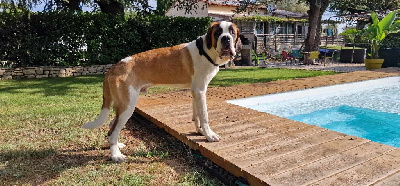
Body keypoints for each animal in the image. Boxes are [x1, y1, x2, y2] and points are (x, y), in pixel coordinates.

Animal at [82, 21, 241, 162]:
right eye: (218, 32)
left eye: (232, 32)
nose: (226, 38)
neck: (205, 51)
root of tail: (113, 68)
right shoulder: (200, 91)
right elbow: (204, 116)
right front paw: (209, 135)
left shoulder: (196, 91)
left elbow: (197, 115)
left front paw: (200, 131)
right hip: (127, 107)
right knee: (112, 130)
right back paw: (116, 155)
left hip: (123, 108)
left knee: (111, 127)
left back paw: (117, 146)